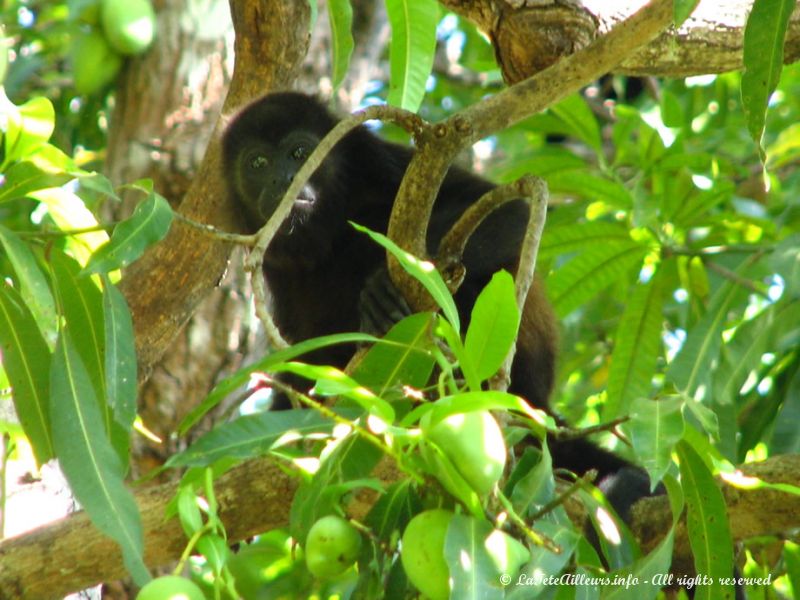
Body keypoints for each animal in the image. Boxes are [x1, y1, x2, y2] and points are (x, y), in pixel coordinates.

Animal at [222, 94, 648, 510]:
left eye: (299, 153)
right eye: (258, 163)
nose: (284, 179)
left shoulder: (377, 161)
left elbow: (508, 212)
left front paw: (383, 287)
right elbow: (302, 354)